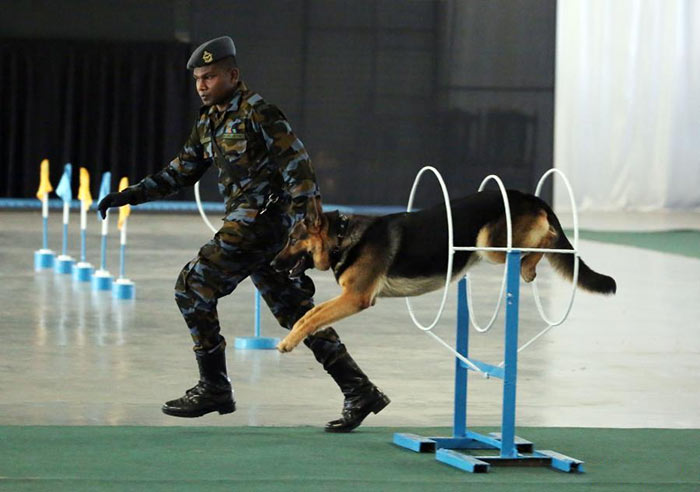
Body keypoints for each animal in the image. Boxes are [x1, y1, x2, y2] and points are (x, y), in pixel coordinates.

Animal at [270, 190, 616, 352]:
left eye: (293, 240)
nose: (272, 265)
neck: (343, 237)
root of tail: (527, 196)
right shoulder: (348, 297)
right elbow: (310, 315)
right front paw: (292, 336)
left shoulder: (355, 298)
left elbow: (312, 317)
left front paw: (288, 342)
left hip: (489, 245)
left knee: (548, 238)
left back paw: (530, 265)